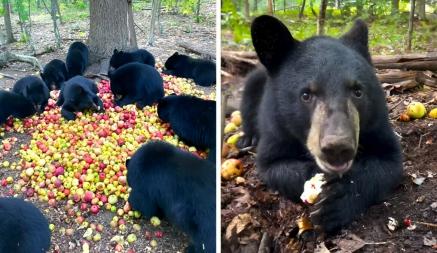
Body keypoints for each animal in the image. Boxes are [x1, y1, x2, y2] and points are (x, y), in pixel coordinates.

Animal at [238, 15, 402, 233]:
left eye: (358, 91)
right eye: (306, 95)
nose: (337, 148)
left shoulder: (376, 122)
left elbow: (388, 162)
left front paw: (336, 203)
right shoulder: (276, 126)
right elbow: (272, 165)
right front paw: (316, 181)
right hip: (254, 83)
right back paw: (248, 138)